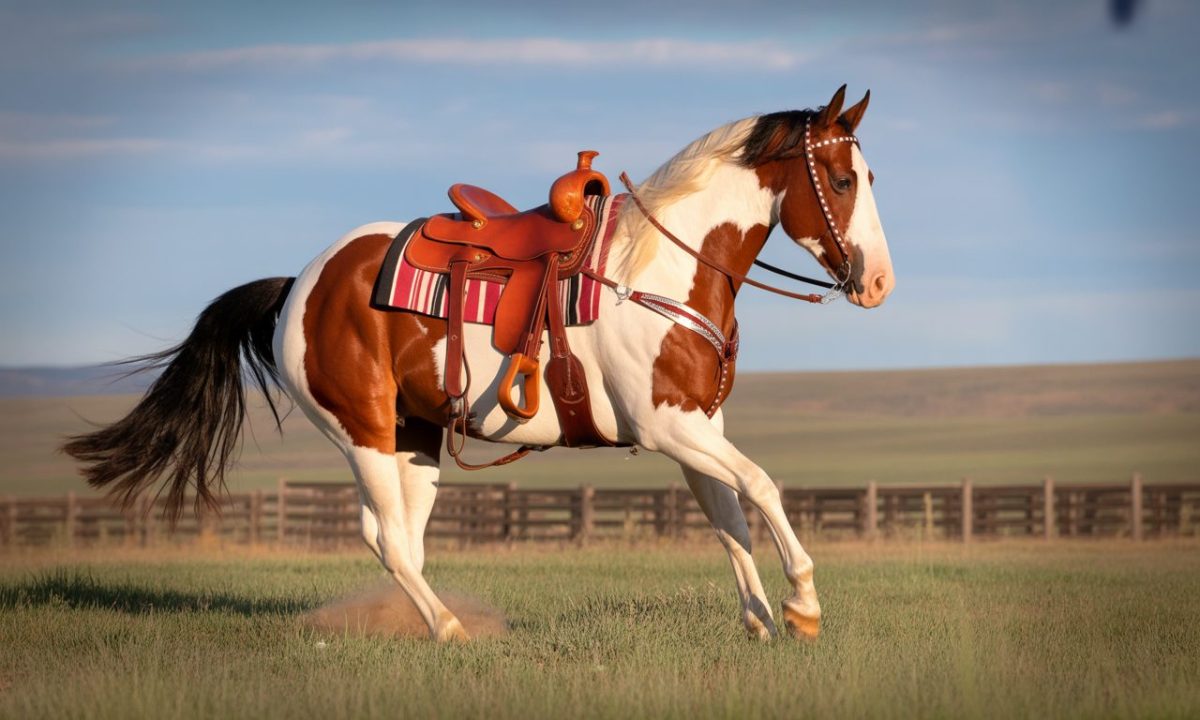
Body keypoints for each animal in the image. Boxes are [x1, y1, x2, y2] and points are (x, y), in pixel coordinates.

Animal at [64, 85, 894, 642]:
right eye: (842, 181)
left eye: (867, 178)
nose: (879, 283)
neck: (661, 269)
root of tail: (299, 284)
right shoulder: (669, 430)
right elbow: (763, 487)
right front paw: (802, 605)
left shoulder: (697, 431)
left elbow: (731, 519)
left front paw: (759, 622)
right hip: (362, 430)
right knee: (385, 537)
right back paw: (449, 631)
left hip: (416, 440)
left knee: (404, 536)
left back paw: (436, 623)